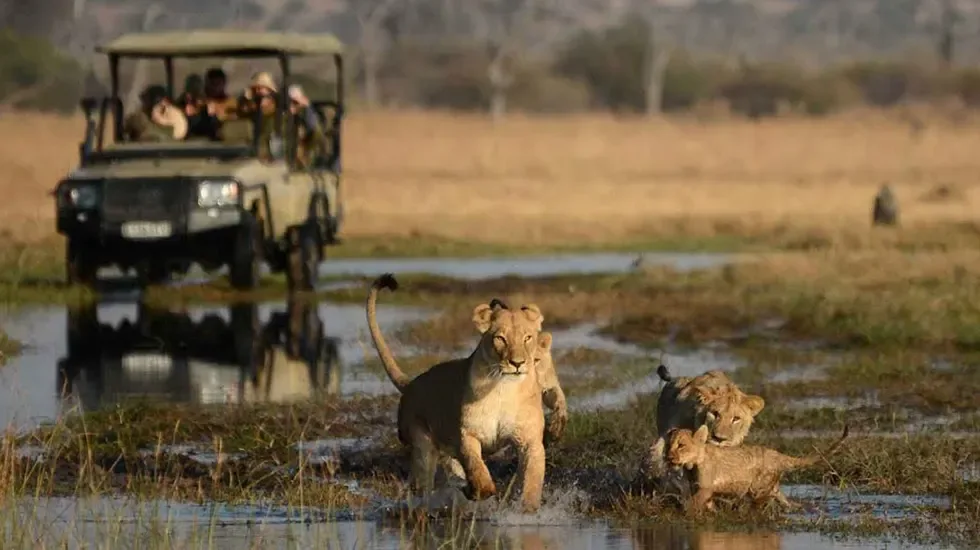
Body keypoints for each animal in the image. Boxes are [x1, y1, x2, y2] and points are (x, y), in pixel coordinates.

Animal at [366, 273, 549, 512]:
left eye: (527, 338)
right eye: (500, 339)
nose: (517, 363)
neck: (504, 388)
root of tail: (412, 383)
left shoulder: (530, 440)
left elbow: (531, 481)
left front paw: (526, 510)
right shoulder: (467, 435)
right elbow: (477, 470)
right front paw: (475, 490)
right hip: (422, 445)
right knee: (422, 486)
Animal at [665, 424, 849, 514]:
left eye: (681, 445)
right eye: (669, 446)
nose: (668, 457)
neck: (691, 465)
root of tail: (777, 454)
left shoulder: (705, 488)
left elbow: (692, 503)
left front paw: (683, 514)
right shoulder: (701, 490)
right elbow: (706, 505)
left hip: (758, 488)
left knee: (759, 504)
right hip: (773, 488)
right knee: (786, 502)